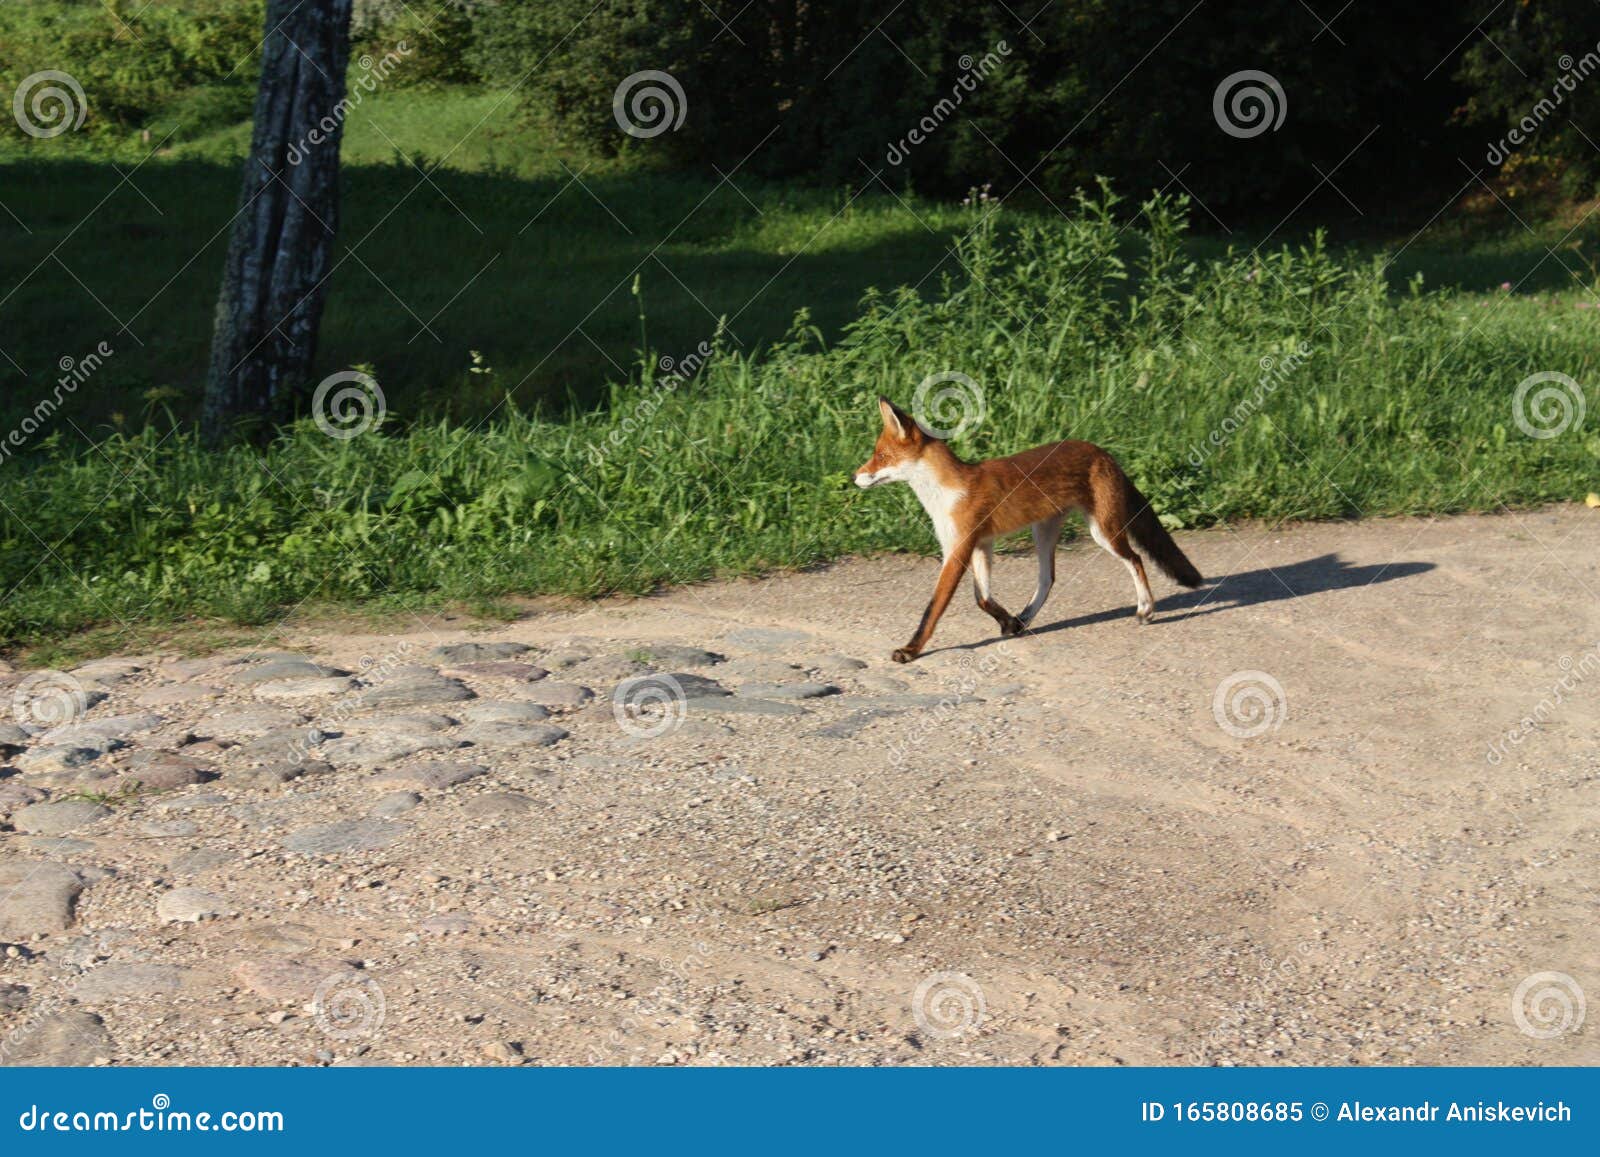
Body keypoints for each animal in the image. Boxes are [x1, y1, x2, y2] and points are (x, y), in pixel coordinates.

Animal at [854, 396, 1203, 663]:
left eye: (881, 456)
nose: (855, 476)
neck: (947, 493)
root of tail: (1104, 453)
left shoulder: (959, 549)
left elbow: (933, 609)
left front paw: (911, 650)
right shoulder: (980, 545)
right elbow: (983, 599)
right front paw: (1009, 622)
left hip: (1104, 532)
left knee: (1136, 560)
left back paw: (1146, 609)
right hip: (1044, 532)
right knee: (1048, 579)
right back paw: (1024, 618)